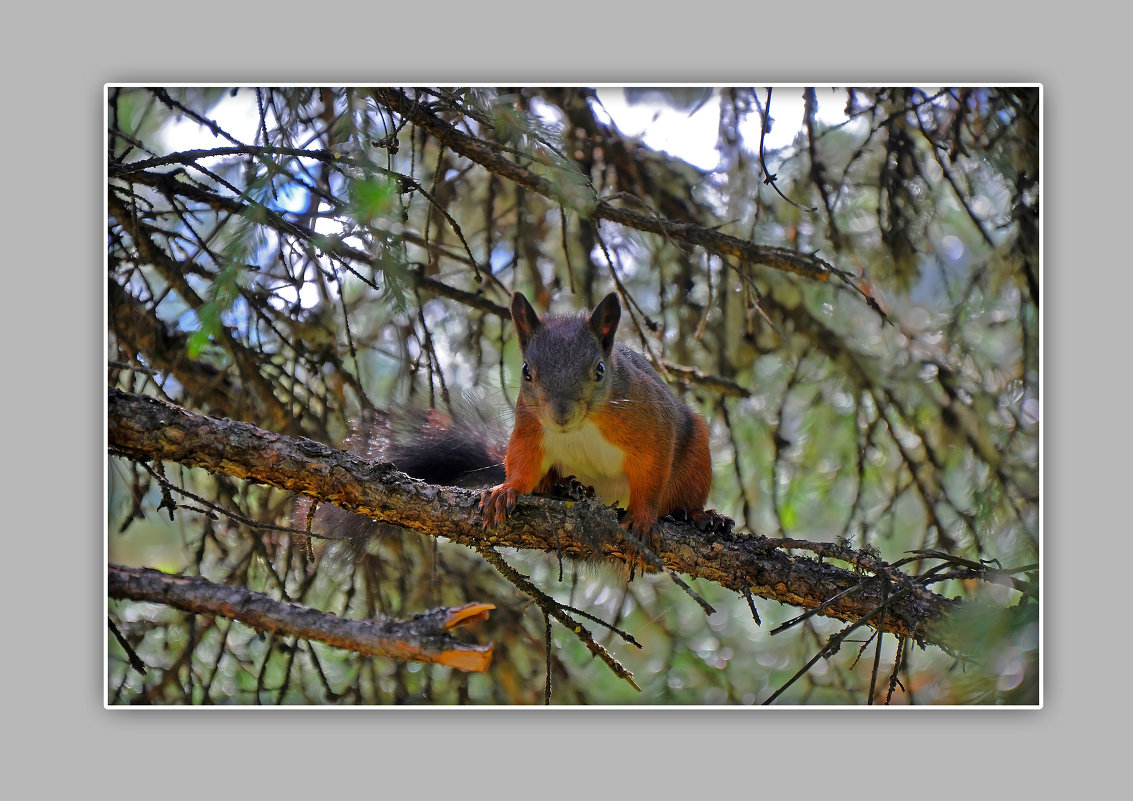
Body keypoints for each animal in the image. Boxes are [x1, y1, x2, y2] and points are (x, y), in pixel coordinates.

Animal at [480, 292, 711, 548]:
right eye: (526, 371)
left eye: (600, 369)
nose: (561, 414)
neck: (581, 428)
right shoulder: (529, 426)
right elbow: (523, 461)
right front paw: (505, 491)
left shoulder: (654, 422)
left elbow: (651, 476)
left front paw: (642, 518)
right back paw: (567, 487)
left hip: (697, 459)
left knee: (688, 498)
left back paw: (704, 517)